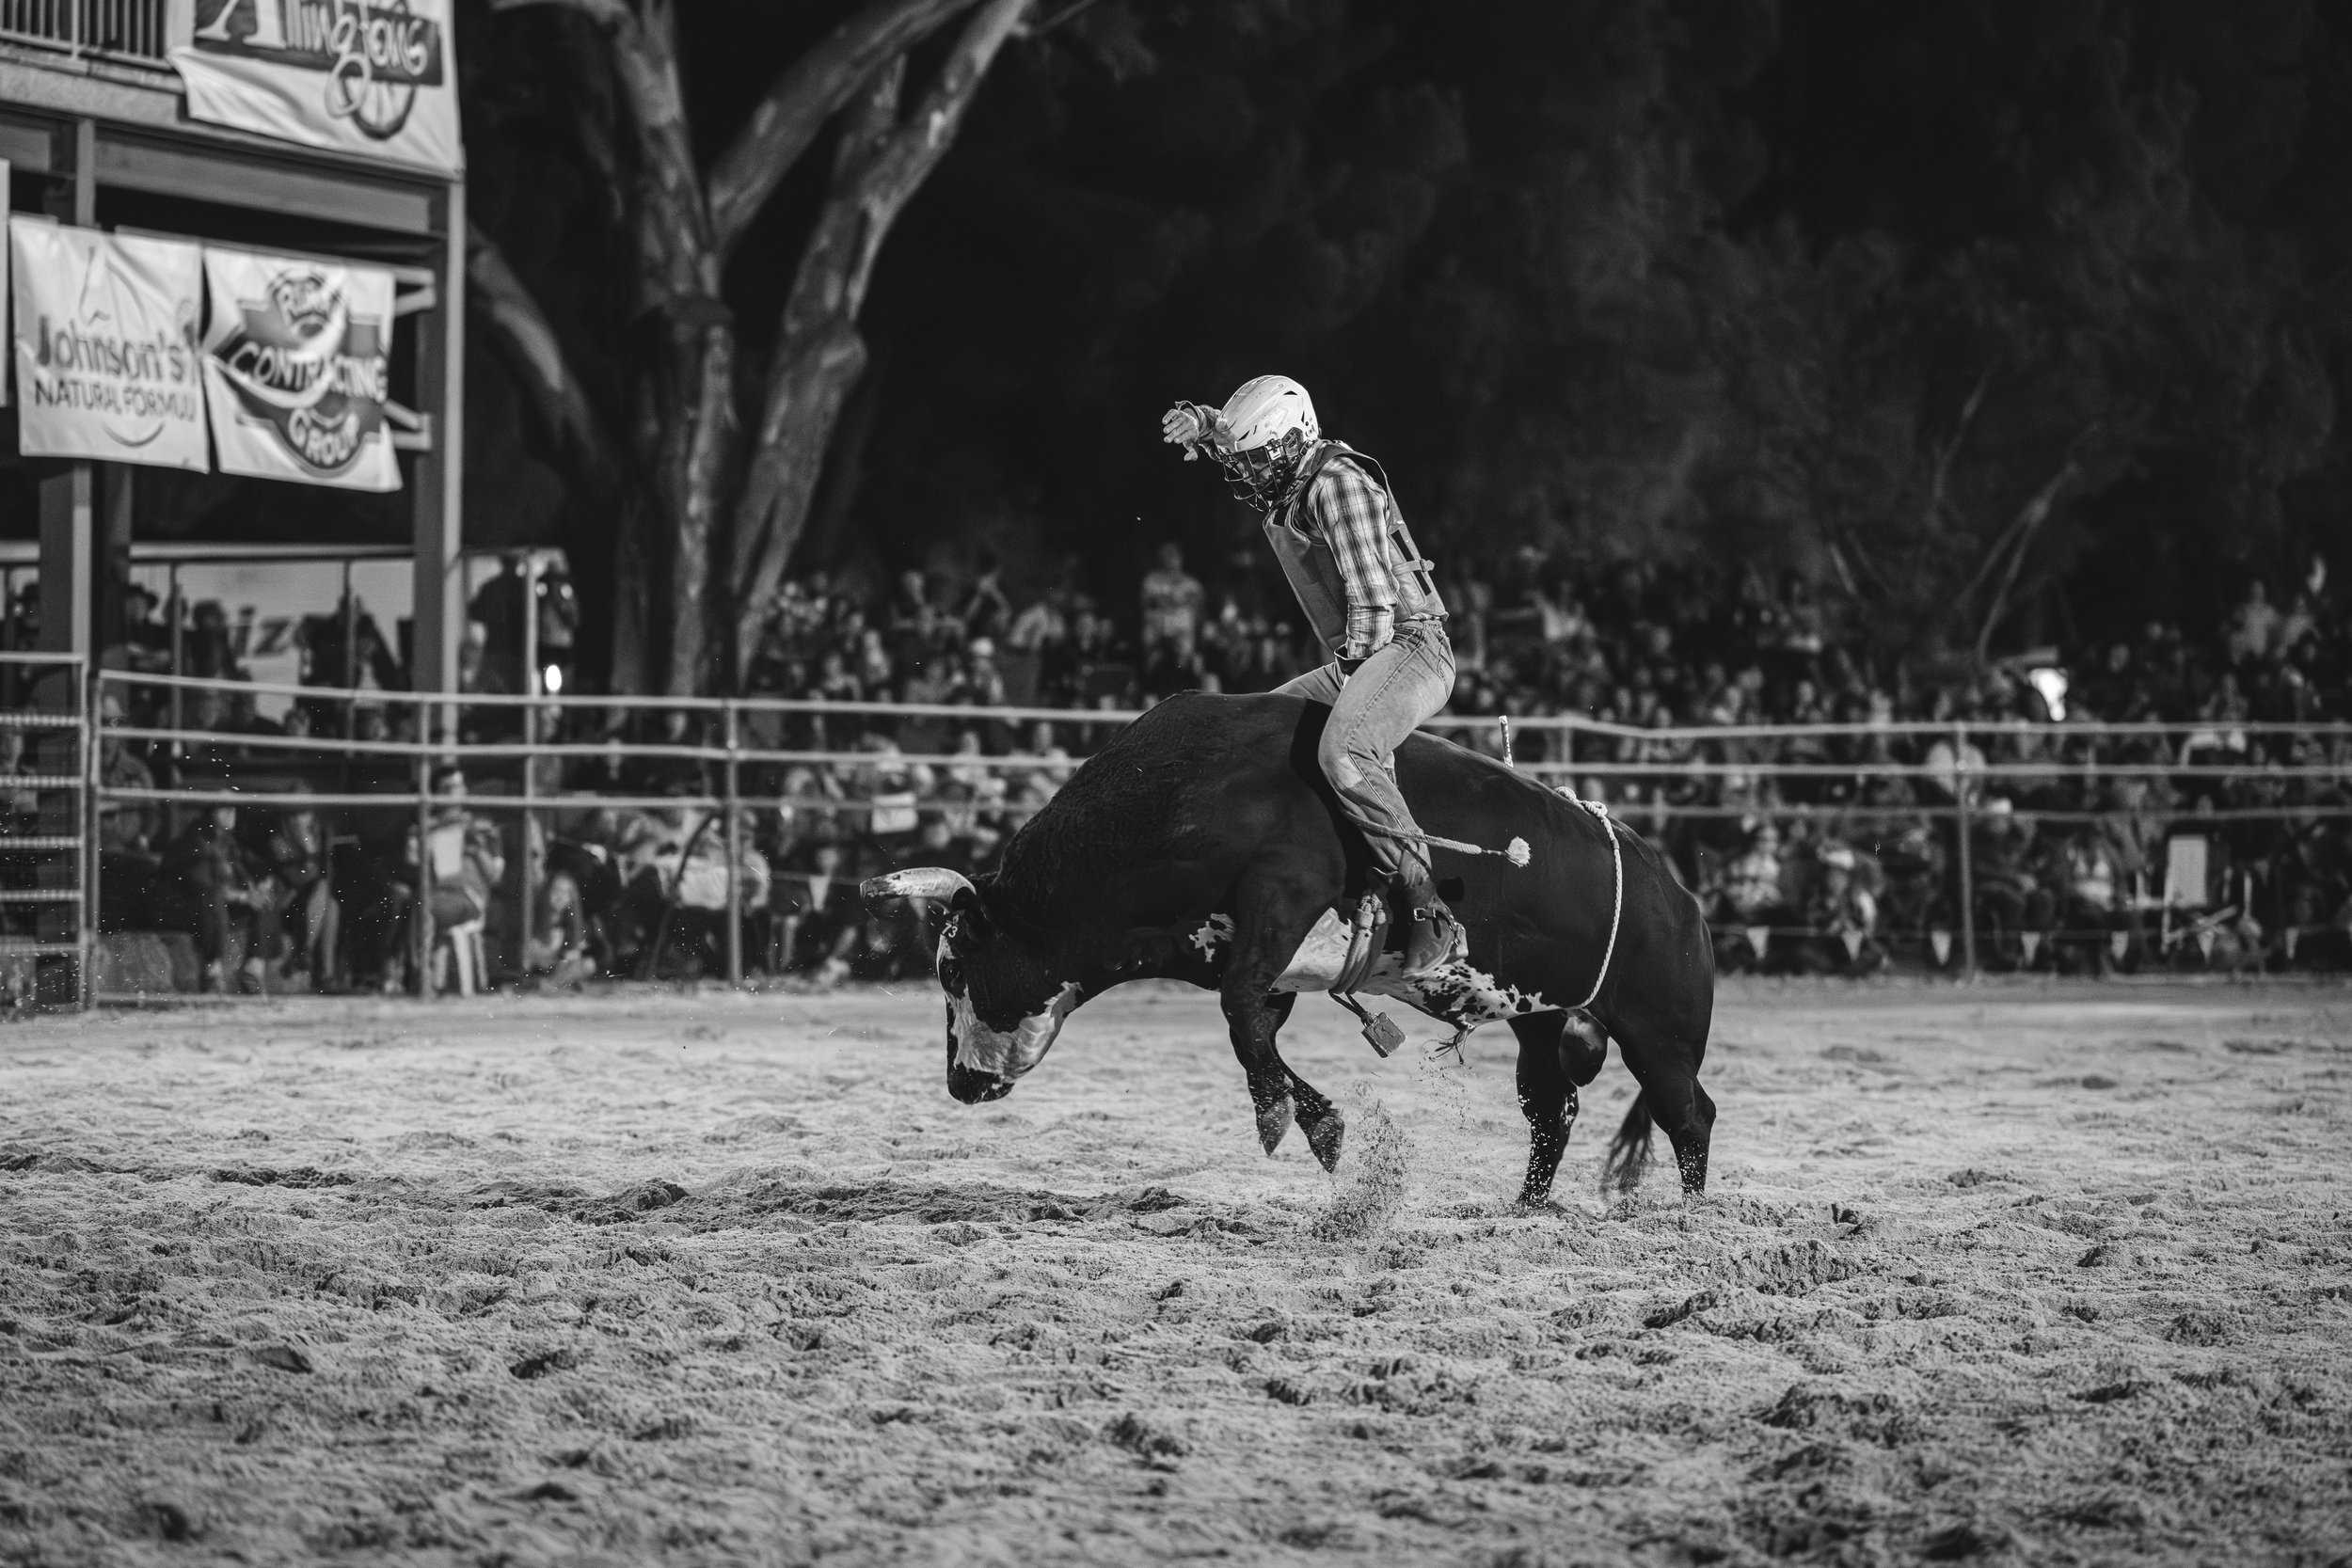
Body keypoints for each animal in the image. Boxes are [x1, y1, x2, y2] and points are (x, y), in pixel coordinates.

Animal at [863, 692, 1716, 1207]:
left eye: (951, 967)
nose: (958, 1083)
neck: (1183, 793)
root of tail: (1678, 892)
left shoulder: (1284, 889)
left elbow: (1240, 1012)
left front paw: (1311, 1125)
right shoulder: (1249, 951)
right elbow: (1252, 1027)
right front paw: (1301, 1116)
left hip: (1660, 1029)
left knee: (1688, 1111)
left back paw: (1691, 1215)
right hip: (1543, 1019)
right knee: (1552, 1107)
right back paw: (1524, 1207)